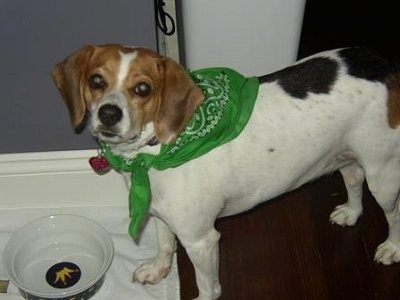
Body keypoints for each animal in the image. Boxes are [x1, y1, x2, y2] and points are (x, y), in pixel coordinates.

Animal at [51, 44, 400, 300]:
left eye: (142, 89)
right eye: (96, 81)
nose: (109, 114)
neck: (153, 155)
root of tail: (385, 63)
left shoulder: (201, 241)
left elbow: (208, 287)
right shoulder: (159, 212)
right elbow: (164, 245)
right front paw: (158, 269)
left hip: (383, 175)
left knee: (395, 214)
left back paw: (392, 248)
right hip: (348, 156)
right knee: (354, 180)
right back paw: (352, 212)